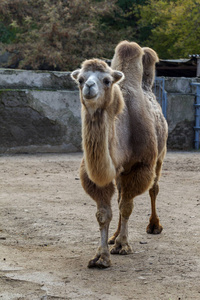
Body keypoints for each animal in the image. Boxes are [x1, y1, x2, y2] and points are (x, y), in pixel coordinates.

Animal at [71, 41, 168, 268]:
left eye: (106, 80)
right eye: (80, 79)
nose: (89, 87)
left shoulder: (140, 166)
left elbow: (126, 207)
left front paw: (123, 245)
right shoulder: (97, 174)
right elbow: (104, 213)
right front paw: (101, 256)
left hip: (160, 154)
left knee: (153, 188)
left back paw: (153, 226)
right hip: (121, 173)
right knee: (121, 195)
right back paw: (114, 236)